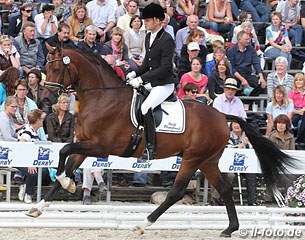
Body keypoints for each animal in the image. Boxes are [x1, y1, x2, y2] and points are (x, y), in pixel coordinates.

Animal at [27, 46, 294, 237]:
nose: (46, 99)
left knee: (176, 192)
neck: (102, 97)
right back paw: (229, 229)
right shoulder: (85, 144)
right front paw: (41, 205)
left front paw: (67, 183)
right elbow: (66, 161)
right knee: (225, 189)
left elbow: (64, 151)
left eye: (56, 70)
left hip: (192, 158)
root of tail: (220, 115)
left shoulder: (99, 146)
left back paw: (143, 224)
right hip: (208, 160)